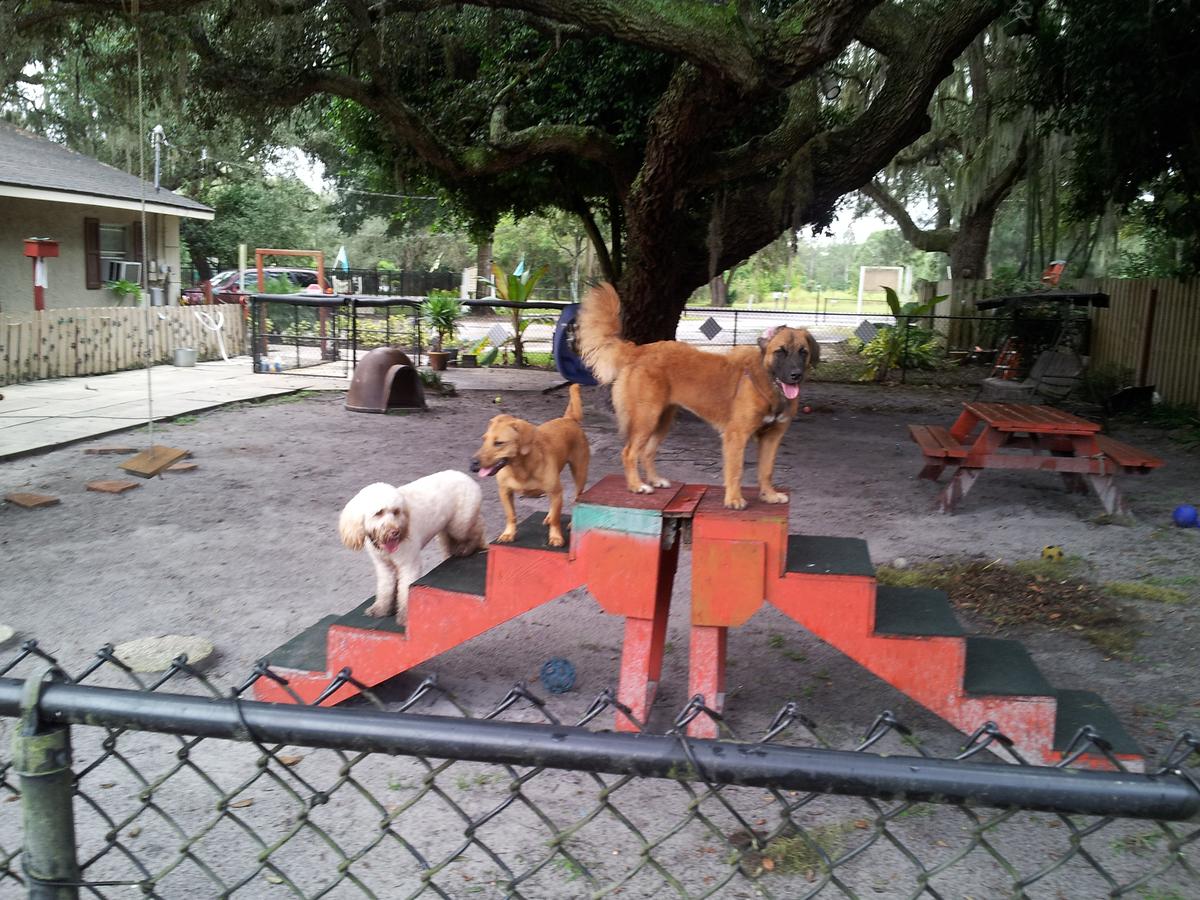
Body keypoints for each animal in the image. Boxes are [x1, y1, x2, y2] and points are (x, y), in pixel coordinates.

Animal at [338, 472, 487, 628]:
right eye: (378, 513)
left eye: (396, 512)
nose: (395, 532)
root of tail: (466, 477)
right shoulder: (384, 566)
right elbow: (385, 588)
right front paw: (380, 609)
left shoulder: (408, 564)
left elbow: (405, 590)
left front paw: (405, 616)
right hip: (447, 528)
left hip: (459, 524)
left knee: (477, 527)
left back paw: (469, 547)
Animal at [468, 381, 590, 547]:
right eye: (484, 439)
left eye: (499, 443)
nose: (473, 463)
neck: (519, 469)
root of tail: (569, 419)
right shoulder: (505, 492)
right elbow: (511, 515)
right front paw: (509, 533)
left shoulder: (557, 492)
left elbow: (557, 520)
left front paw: (556, 537)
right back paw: (549, 516)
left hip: (579, 474)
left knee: (576, 498)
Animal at [576, 283, 820, 508]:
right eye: (780, 352)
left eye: (803, 352)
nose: (795, 375)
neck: (767, 381)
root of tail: (638, 349)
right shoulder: (736, 435)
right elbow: (736, 470)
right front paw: (734, 499)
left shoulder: (772, 437)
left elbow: (767, 470)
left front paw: (769, 495)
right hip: (647, 418)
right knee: (629, 452)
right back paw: (637, 486)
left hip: (662, 421)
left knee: (646, 452)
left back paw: (655, 480)